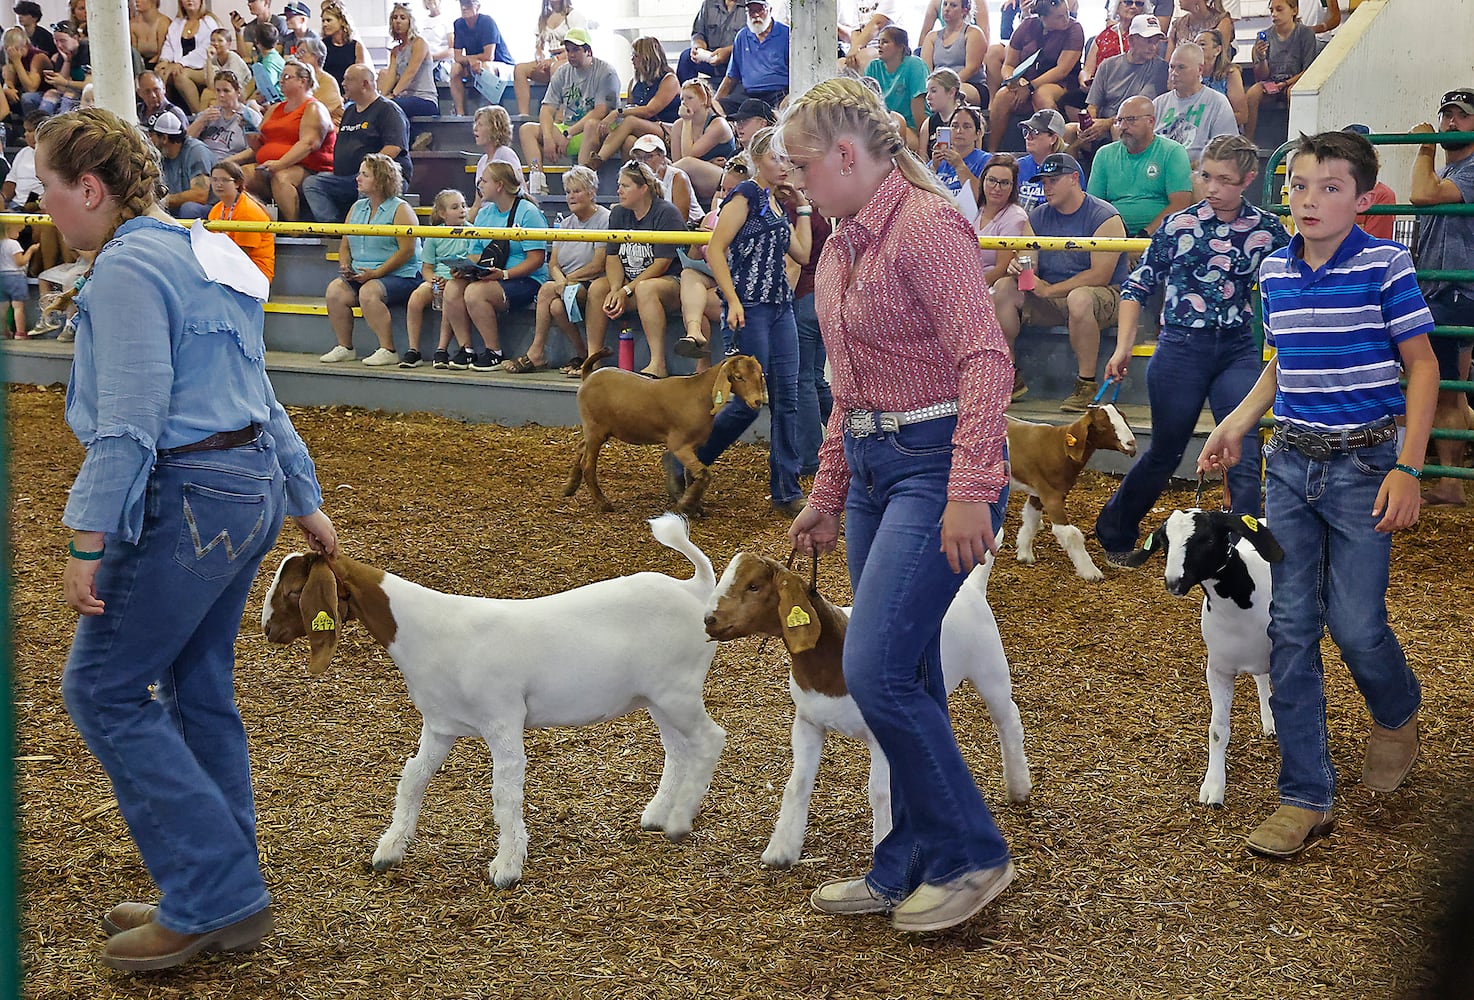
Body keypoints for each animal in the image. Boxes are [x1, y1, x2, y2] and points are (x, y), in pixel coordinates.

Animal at [563, 351, 772, 516]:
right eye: (738, 376)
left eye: (760, 375)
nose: (757, 401)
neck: (699, 394)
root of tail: (588, 375)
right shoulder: (679, 445)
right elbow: (704, 474)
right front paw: (684, 506)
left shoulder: (694, 446)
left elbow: (692, 475)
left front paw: (695, 507)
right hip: (595, 428)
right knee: (588, 465)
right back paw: (603, 503)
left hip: (595, 429)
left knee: (580, 447)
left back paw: (569, 487)